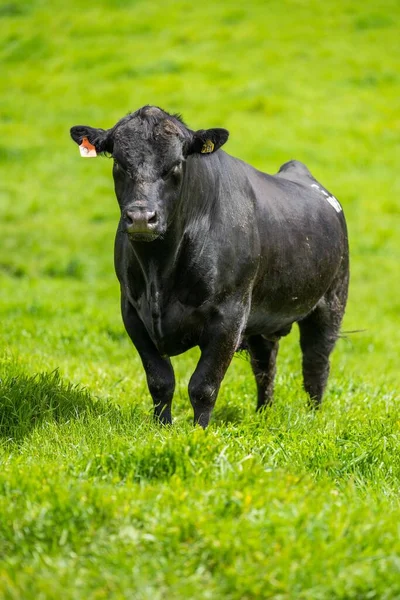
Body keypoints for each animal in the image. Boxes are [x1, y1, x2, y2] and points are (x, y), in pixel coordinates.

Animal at [70, 106, 348, 426]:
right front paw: (161, 427)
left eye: (176, 165)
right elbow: (160, 380)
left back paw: (313, 418)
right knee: (265, 365)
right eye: (119, 162)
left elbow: (203, 385)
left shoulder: (229, 314)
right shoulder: (133, 311)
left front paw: (199, 430)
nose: (141, 217)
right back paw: (262, 415)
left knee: (316, 364)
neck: (160, 270)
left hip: (331, 302)